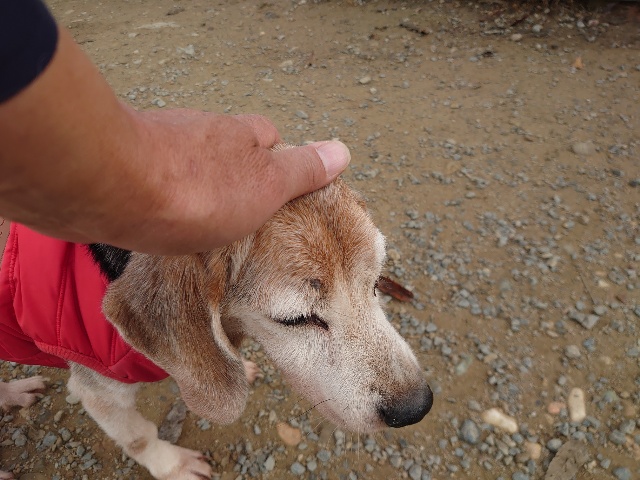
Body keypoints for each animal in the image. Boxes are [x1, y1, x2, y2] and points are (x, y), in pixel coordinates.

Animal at [0, 175, 432, 479]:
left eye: (376, 283)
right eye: (295, 319)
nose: (416, 407)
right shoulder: (99, 390)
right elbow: (139, 436)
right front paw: (174, 466)